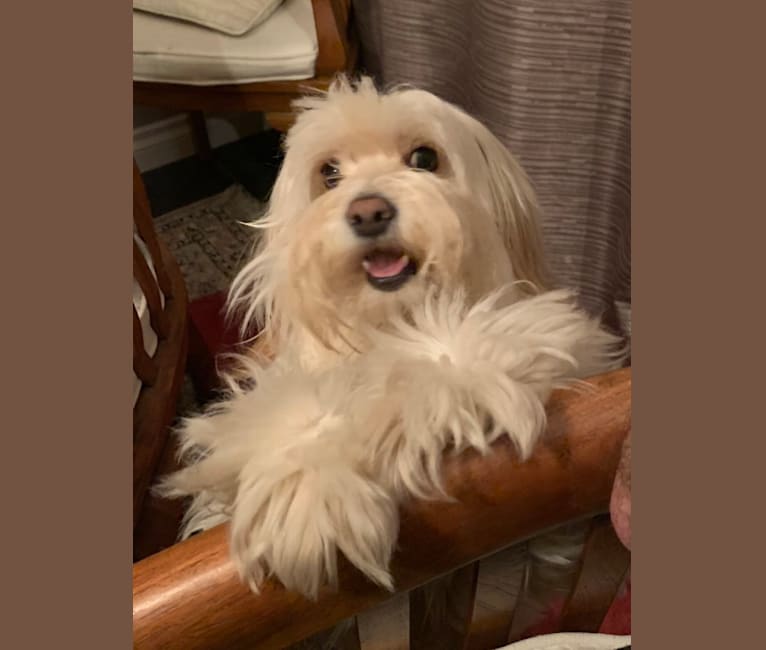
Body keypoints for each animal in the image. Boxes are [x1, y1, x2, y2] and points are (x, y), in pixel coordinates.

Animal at [162, 74, 624, 596]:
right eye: (329, 174)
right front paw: (307, 481)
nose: (368, 212)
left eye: (424, 158)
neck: (390, 322)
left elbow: (456, 347)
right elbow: (297, 409)